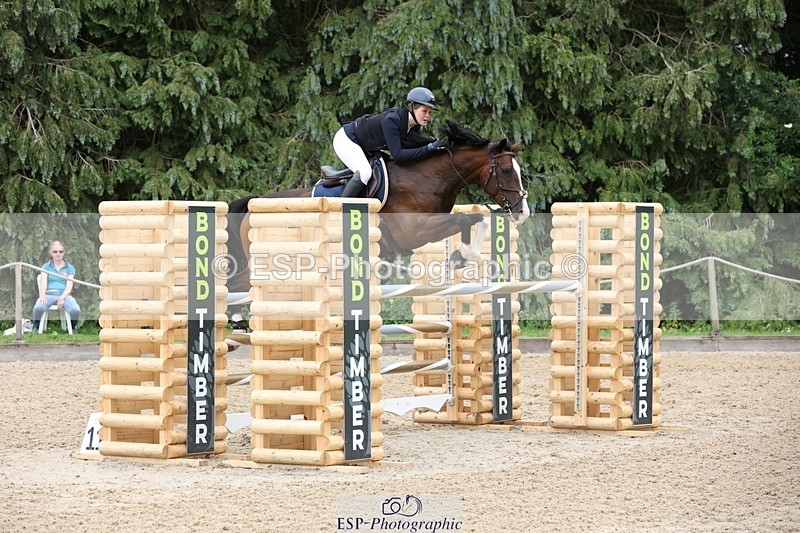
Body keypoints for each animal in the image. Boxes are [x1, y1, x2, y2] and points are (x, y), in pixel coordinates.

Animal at [225, 120, 530, 293]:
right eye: (505, 171)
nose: (523, 212)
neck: (428, 177)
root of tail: (253, 205)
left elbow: (477, 220)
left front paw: (460, 256)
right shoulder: (414, 232)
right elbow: (468, 219)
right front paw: (461, 255)